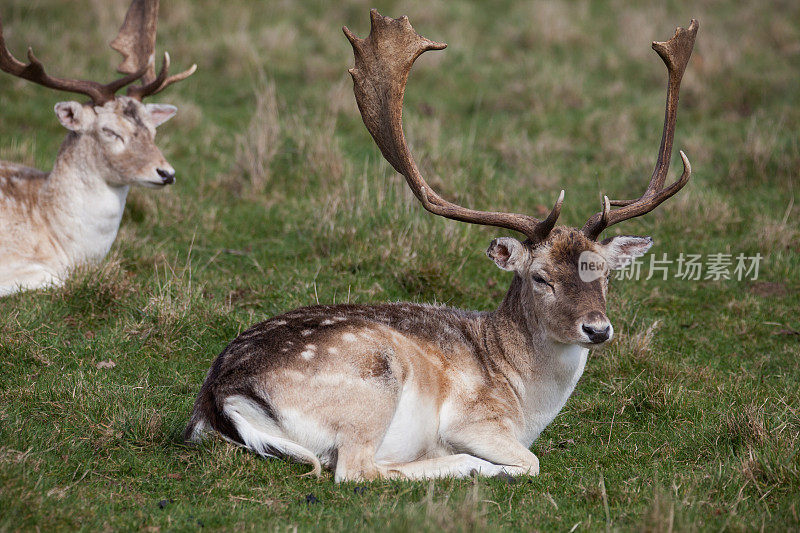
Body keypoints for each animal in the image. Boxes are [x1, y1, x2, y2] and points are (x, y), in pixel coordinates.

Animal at [184, 9, 696, 482]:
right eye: (541, 277)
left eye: (605, 274)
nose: (597, 329)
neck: (525, 401)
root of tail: (220, 396)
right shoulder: (475, 419)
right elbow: (530, 460)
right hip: (373, 381)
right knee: (355, 469)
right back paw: (466, 465)